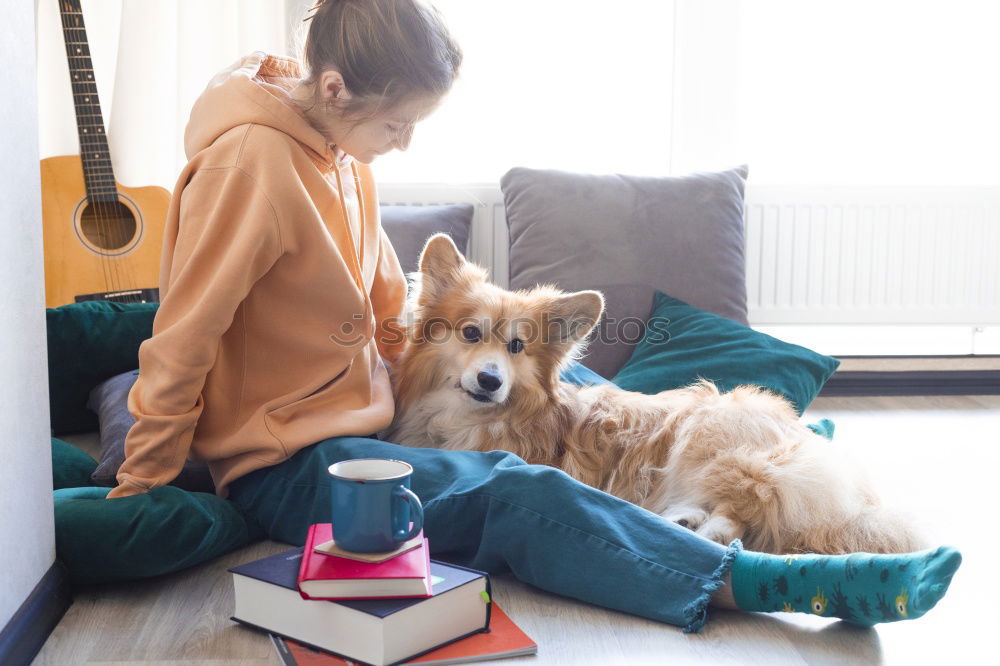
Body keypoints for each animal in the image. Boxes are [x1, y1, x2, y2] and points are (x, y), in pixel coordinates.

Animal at [384, 235, 920, 556]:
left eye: (517, 347)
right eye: (471, 334)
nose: (492, 381)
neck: (464, 419)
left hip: (715, 440)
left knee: (740, 517)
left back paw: (690, 527)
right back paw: (681, 520)